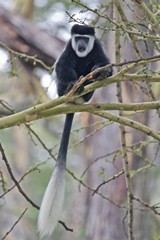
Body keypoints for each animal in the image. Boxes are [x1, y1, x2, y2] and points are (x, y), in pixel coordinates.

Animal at [38, 23, 112, 237]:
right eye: (77, 37)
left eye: (85, 39)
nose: (81, 45)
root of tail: (74, 102)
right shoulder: (68, 49)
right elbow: (62, 65)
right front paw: (72, 81)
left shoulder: (98, 47)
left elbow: (105, 64)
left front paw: (102, 71)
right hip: (61, 89)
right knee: (65, 71)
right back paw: (73, 87)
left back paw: (89, 84)